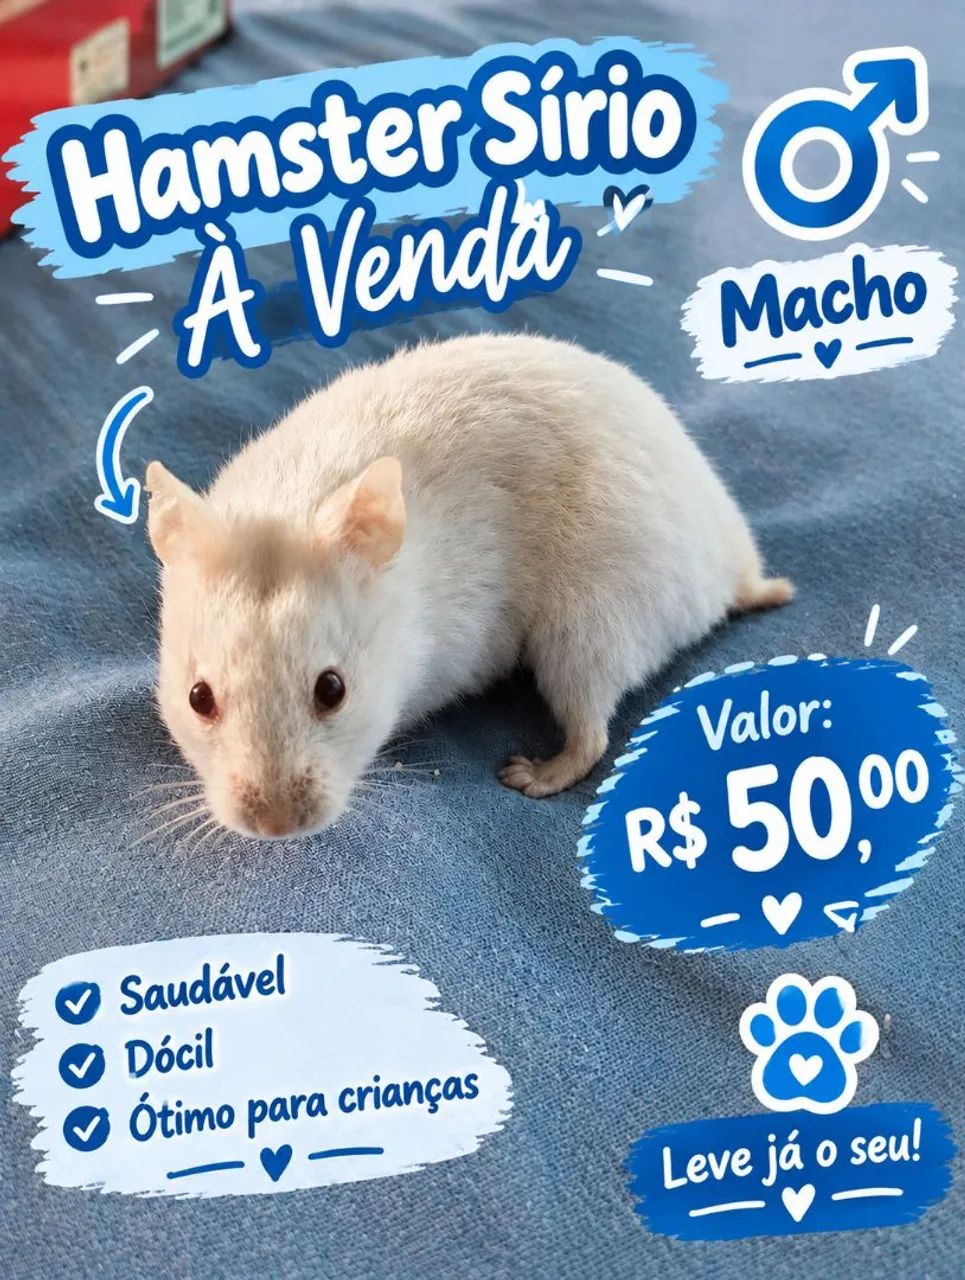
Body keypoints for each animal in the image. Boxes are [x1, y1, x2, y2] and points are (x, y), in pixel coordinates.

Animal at [147, 333, 791, 839]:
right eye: (198, 698)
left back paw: (530, 775)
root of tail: (733, 571)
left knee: (591, 732)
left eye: (333, 689)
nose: (276, 828)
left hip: (593, 622)